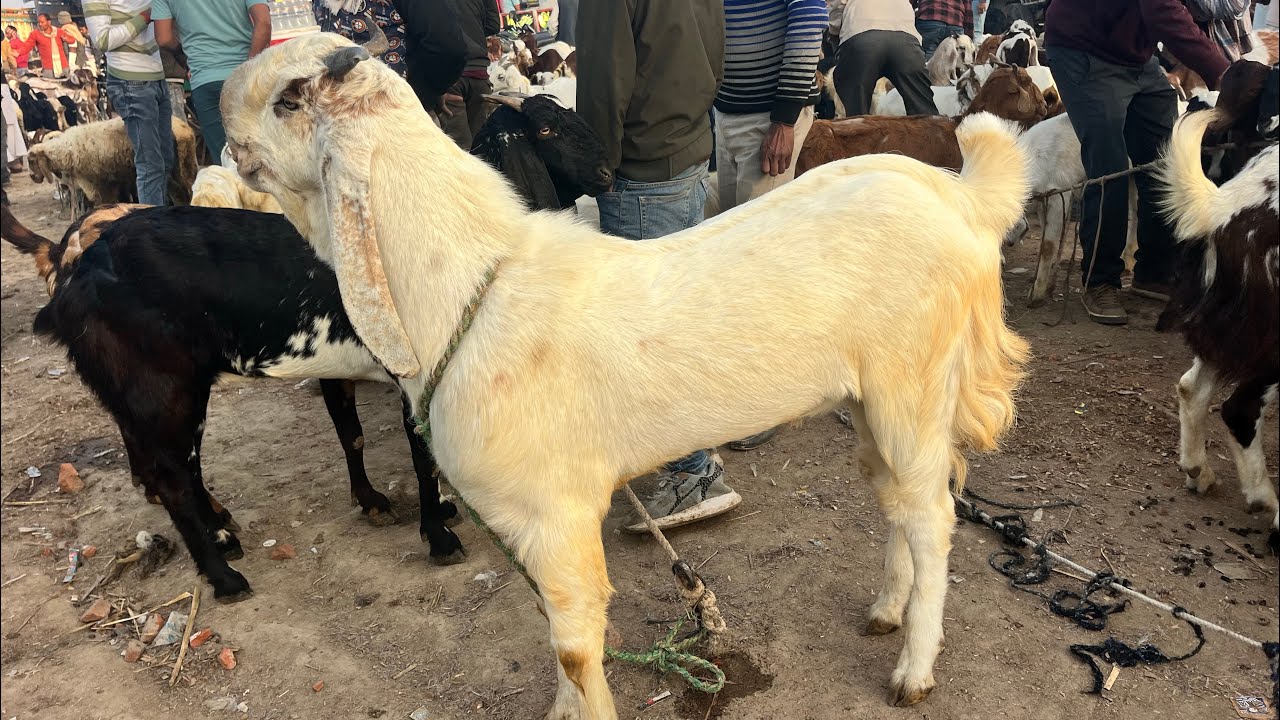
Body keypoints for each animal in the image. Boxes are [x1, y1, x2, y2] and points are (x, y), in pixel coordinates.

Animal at [0, 204, 468, 600]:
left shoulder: (338, 369)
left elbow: (352, 436)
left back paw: (222, 535)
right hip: (164, 392)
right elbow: (422, 457)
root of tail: (72, 278)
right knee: (172, 480)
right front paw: (439, 539)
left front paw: (376, 501)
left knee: (174, 467)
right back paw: (224, 577)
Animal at [223, 34, 1031, 716]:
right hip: (871, 397)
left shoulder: (555, 514)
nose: (225, 118)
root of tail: (956, 194)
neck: (468, 289)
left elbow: (576, 649)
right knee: (897, 500)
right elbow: (555, 635)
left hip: (913, 386)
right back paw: (886, 610)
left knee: (932, 518)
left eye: (289, 99)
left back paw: (913, 672)